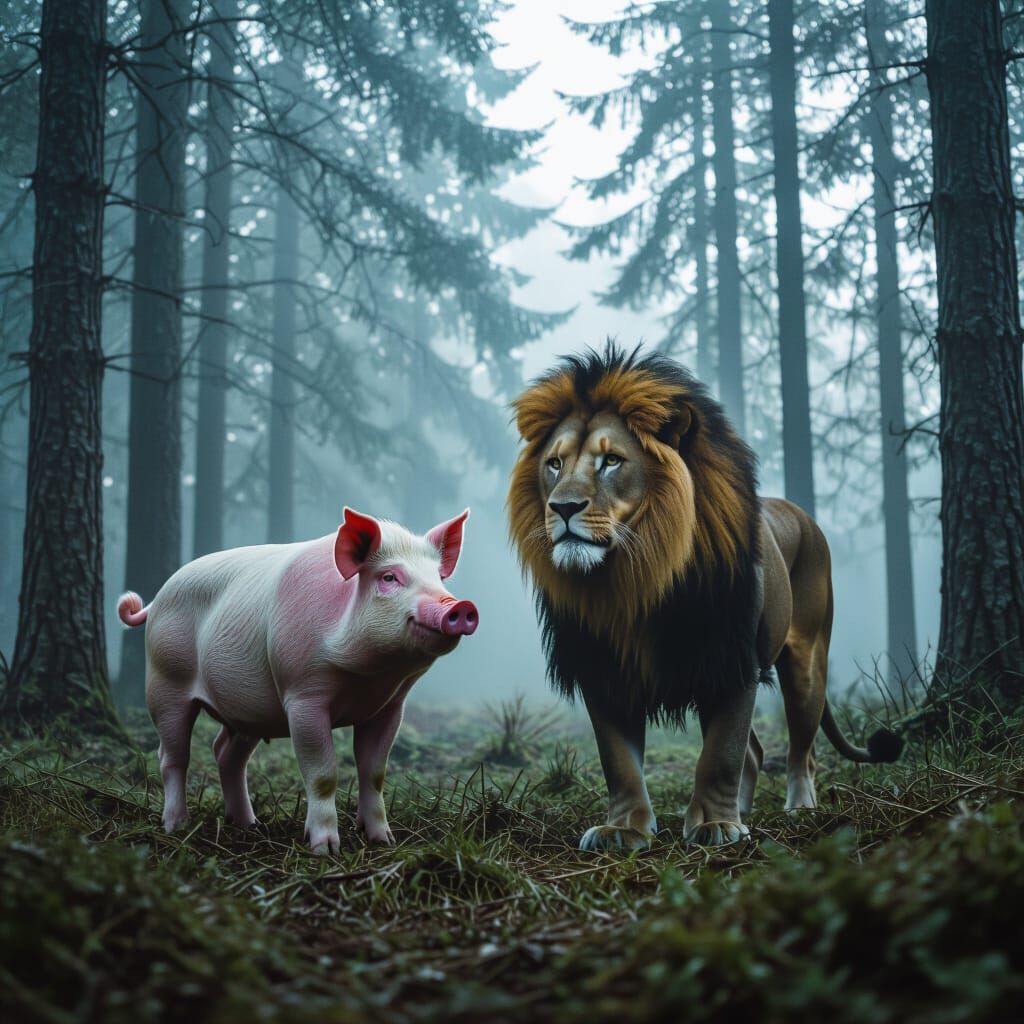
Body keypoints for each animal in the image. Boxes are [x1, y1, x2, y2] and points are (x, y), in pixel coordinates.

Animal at [117, 507, 478, 853]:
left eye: (439, 578)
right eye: (389, 577)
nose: (460, 605)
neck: (368, 677)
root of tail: (156, 599)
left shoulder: (389, 707)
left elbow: (374, 772)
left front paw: (383, 840)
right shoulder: (303, 695)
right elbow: (323, 775)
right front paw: (325, 849)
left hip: (247, 712)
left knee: (225, 754)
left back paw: (249, 825)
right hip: (165, 681)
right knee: (172, 757)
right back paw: (176, 826)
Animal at [508, 344, 901, 849]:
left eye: (611, 461)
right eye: (554, 464)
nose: (562, 507)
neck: (633, 578)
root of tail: (799, 513)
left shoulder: (731, 659)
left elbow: (720, 754)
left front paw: (715, 825)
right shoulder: (604, 667)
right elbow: (620, 762)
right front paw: (624, 828)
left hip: (807, 662)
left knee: (801, 750)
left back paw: (799, 809)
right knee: (757, 752)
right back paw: (745, 809)